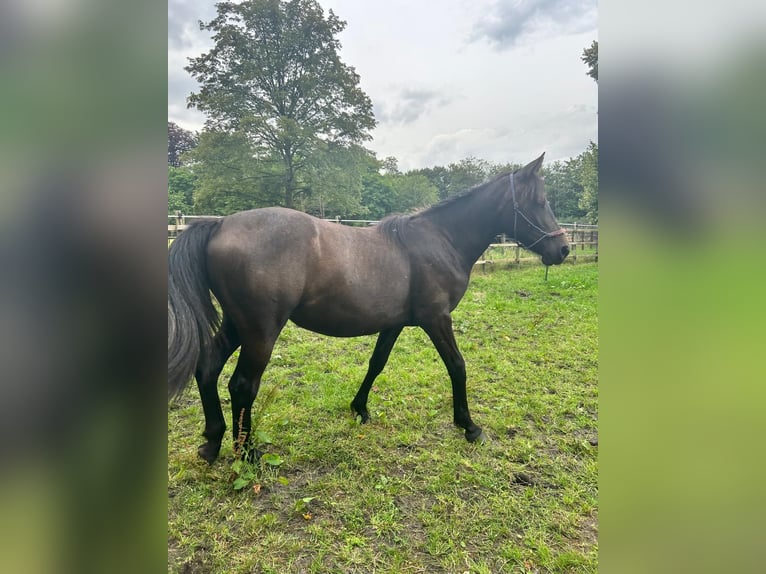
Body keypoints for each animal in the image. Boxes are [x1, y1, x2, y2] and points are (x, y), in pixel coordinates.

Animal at [168, 154, 568, 464]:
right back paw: (246, 451)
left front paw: (359, 408)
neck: (441, 240)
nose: (562, 249)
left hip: (238, 325)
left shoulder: (394, 323)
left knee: (207, 368)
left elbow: (377, 364)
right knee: (242, 386)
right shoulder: (436, 319)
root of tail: (220, 224)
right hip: (261, 331)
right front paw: (468, 426)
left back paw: (212, 442)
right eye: (539, 202)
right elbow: (457, 366)